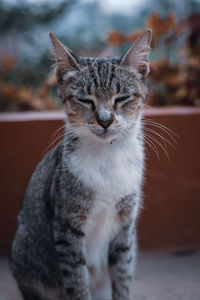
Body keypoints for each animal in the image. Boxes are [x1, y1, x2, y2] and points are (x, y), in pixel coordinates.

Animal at [10, 28, 152, 300]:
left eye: (121, 98)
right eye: (86, 99)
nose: (105, 120)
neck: (108, 156)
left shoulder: (125, 227)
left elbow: (122, 274)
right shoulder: (67, 225)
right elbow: (76, 278)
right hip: (27, 252)